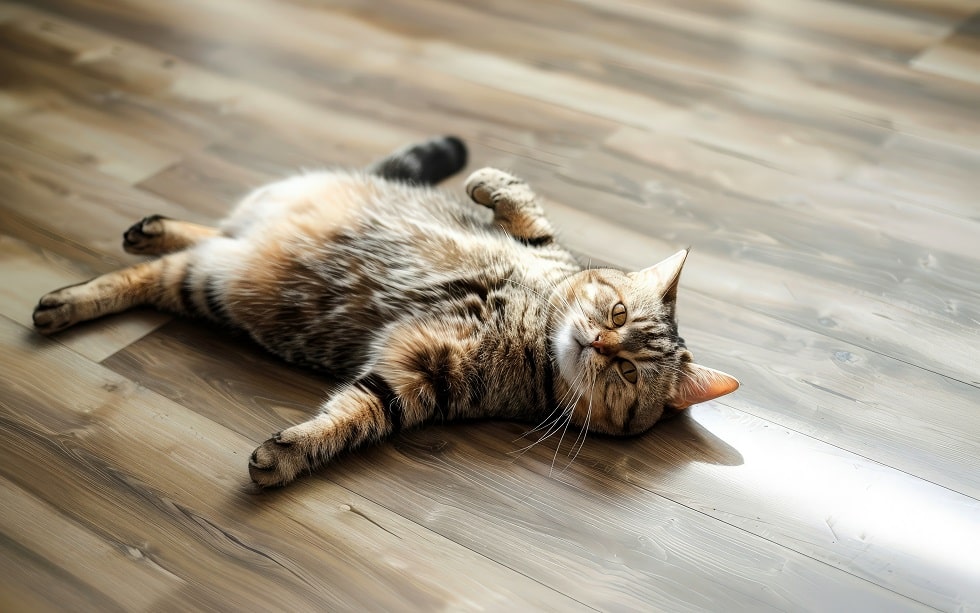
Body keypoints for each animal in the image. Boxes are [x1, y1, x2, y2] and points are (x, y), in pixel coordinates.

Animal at [30, 136, 740, 486]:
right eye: (616, 313)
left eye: (628, 372)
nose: (597, 344)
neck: (534, 334)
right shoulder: (540, 246)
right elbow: (522, 205)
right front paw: (486, 182)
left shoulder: (416, 378)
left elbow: (351, 418)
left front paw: (290, 455)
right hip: (223, 263)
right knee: (196, 237)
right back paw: (134, 241)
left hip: (211, 282)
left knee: (170, 265)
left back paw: (74, 295)